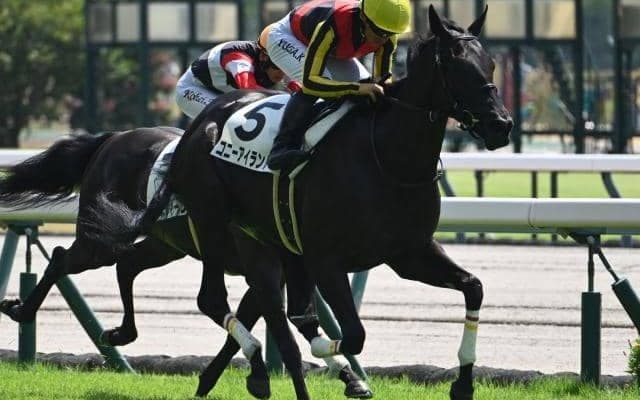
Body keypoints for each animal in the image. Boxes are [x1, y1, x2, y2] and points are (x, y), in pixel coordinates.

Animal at [0, 128, 372, 399]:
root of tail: (113, 138)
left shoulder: (276, 272)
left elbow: (258, 322)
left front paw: (349, 378)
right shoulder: (261, 266)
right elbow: (270, 324)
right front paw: (256, 375)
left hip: (164, 243)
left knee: (127, 265)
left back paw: (120, 332)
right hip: (100, 238)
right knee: (62, 258)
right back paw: (20, 310)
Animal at [94, 6, 513, 400]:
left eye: (491, 63)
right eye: (457, 66)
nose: (501, 125)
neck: (387, 157)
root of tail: (200, 124)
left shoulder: (409, 251)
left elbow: (473, 287)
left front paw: (463, 384)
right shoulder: (324, 260)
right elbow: (348, 333)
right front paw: (337, 370)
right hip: (214, 222)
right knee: (214, 298)